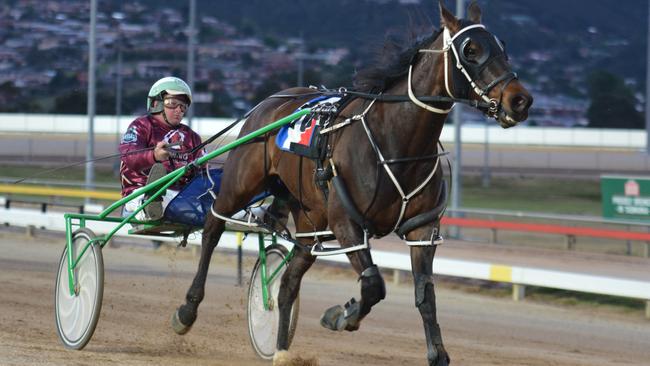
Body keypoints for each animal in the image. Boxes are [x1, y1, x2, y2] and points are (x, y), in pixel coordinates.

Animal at [173, 1, 532, 364]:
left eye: (502, 46)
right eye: (470, 49)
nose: (520, 100)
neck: (397, 141)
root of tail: (272, 99)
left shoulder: (422, 229)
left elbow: (425, 295)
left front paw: (438, 354)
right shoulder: (347, 223)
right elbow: (373, 285)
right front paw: (339, 315)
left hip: (311, 222)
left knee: (288, 281)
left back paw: (281, 348)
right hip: (241, 183)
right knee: (212, 227)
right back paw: (187, 310)